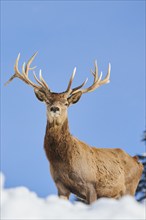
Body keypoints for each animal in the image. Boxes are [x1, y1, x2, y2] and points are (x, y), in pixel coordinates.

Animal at [5, 52, 143, 204]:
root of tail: (138, 162)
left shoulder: (90, 184)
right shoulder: (60, 186)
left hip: (129, 189)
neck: (62, 161)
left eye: (66, 103)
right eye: (47, 101)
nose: (55, 108)